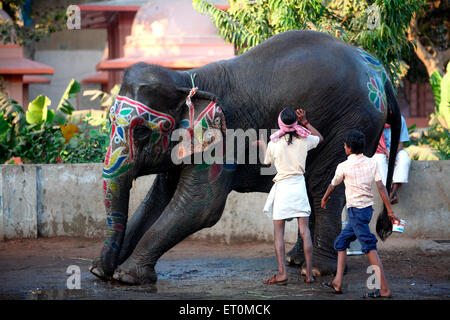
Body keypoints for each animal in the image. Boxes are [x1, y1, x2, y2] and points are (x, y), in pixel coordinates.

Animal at [89, 30, 400, 284]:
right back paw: (297, 260)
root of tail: (380, 72)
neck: (187, 79)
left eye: (142, 132)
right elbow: (157, 200)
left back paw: (317, 270)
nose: (105, 270)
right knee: (314, 185)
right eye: (109, 121)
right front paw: (100, 270)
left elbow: (200, 206)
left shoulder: (223, 138)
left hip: (352, 124)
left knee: (323, 185)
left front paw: (127, 276)